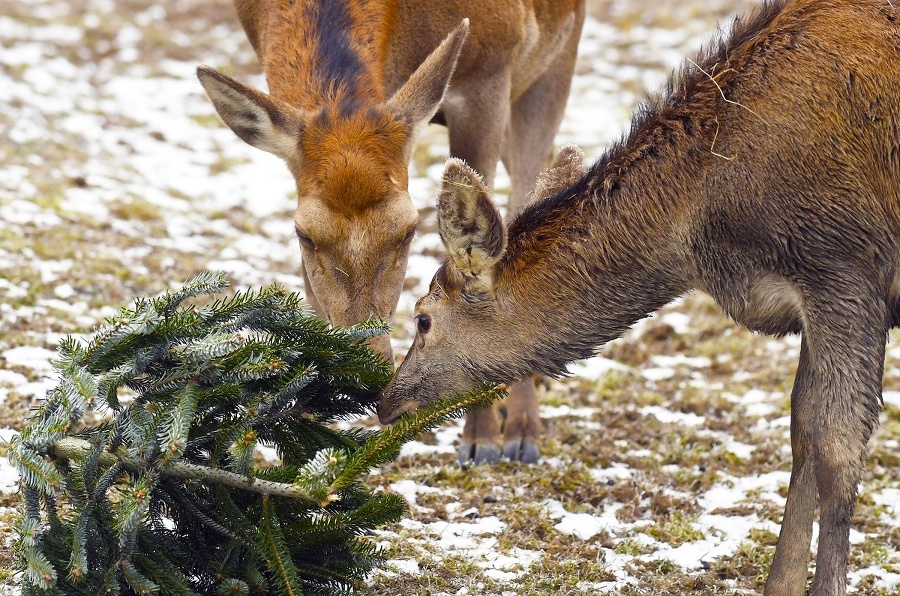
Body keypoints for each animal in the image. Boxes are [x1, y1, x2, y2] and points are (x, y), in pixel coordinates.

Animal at [198, 0, 588, 466]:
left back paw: (522, 428)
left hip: (556, 57)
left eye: (408, 230)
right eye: (304, 234)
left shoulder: (491, 69)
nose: (364, 373)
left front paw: (483, 439)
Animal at [380, 0, 900, 592]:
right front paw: (780, 583)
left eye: (422, 318)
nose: (386, 401)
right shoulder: (811, 301)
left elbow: (838, 451)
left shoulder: (845, 271)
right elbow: (802, 433)